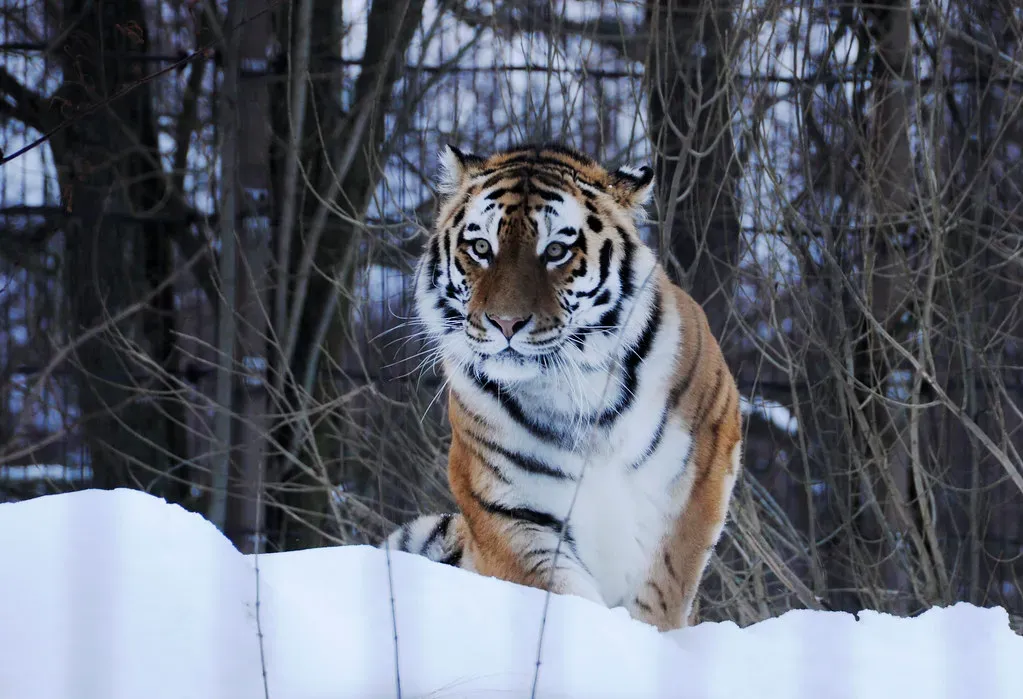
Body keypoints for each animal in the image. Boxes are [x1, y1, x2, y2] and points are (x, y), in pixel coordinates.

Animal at [382, 142, 742, 632]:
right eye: (481, 247)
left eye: (555, 250)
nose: (505, 322)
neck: (578, 391)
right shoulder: (504, 504)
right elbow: (560, 594)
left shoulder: (702, 466)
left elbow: (662, 586)